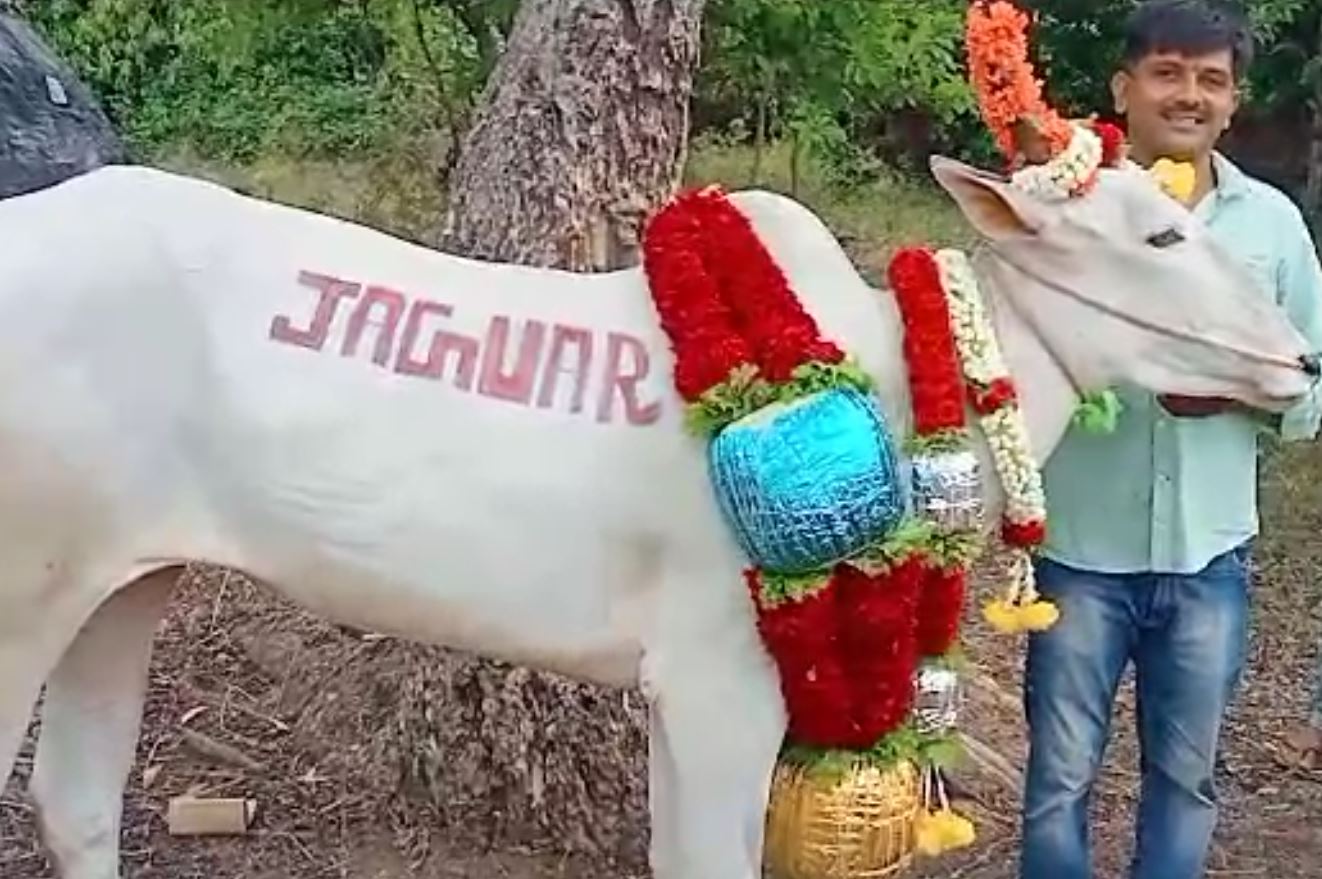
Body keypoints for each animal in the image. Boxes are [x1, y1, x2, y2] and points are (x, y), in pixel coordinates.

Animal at [0, 153, 1311, 872]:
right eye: (1158, 232)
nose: (1296, 358)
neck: (902, 389)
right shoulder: (717, 672)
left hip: (126, 579)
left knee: (77, 805)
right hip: (27, 584)